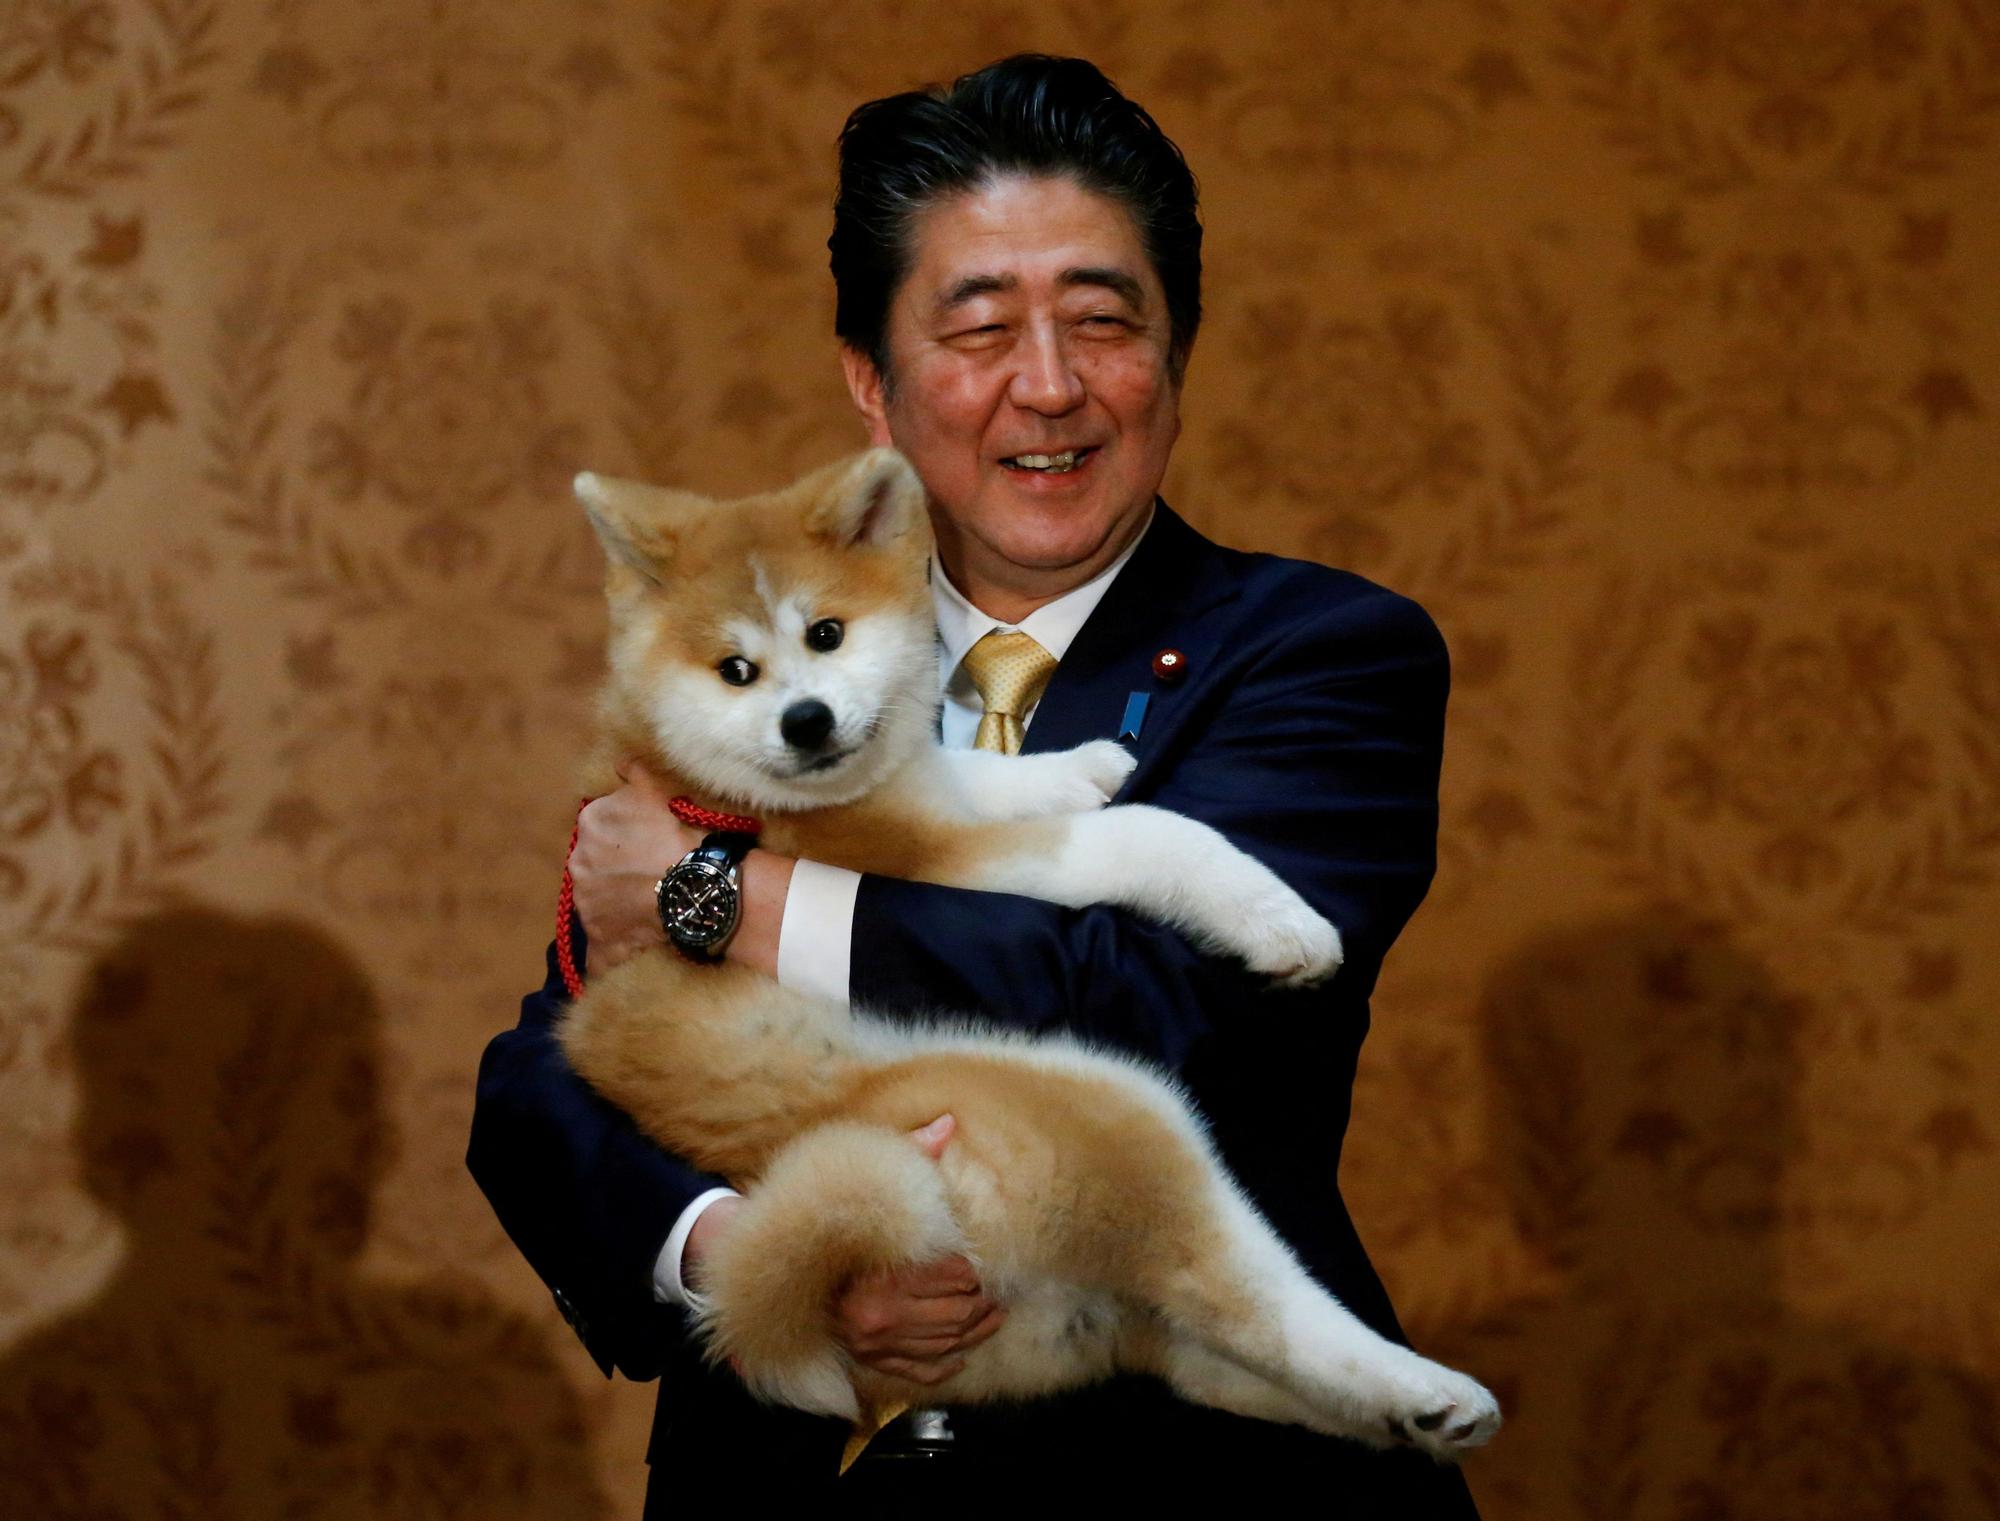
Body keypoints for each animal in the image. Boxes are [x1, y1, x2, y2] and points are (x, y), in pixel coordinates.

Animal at [556, 448, 1496, 1464]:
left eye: (826, 633)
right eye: (736, 670)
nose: (805, 720)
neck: (706, 786)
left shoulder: (932, 791)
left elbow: (990, 775)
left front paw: (1080, 764)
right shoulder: (927, 850)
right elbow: (1146, 835)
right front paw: (1276, 917)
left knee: (1223, 1347)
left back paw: (1410, 1419)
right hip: (1116, 1110)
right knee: (1256, 1308)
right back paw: (1426, 1388)